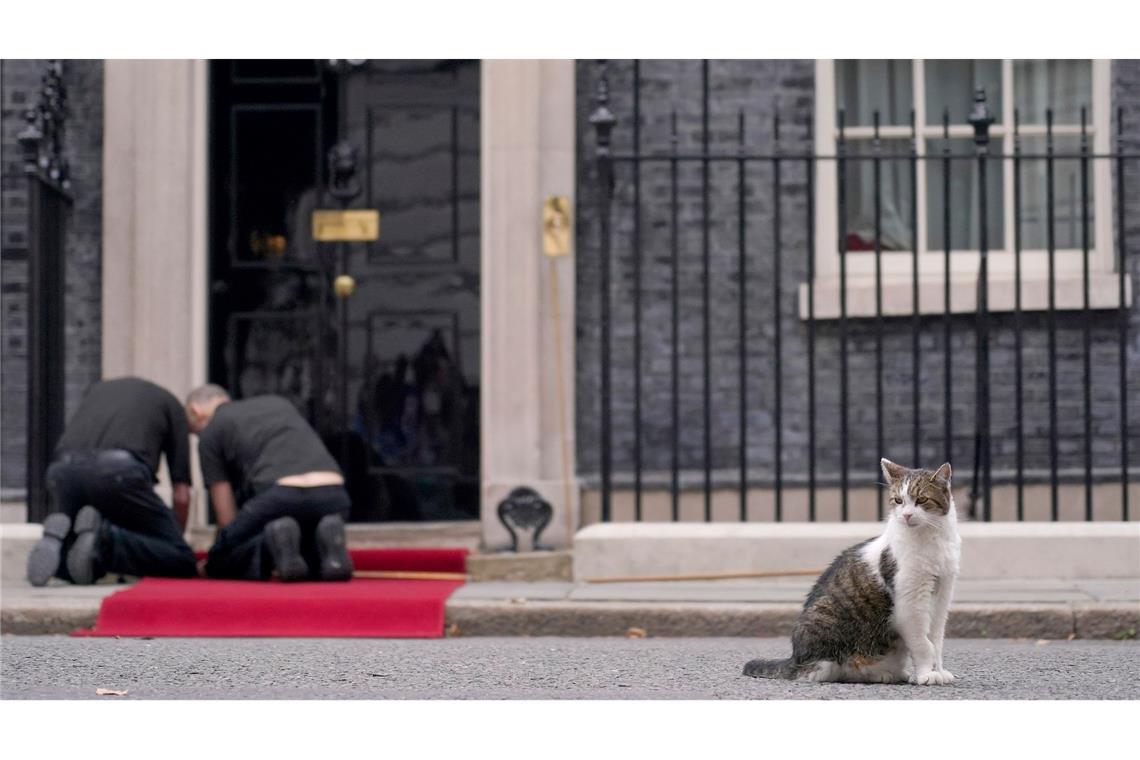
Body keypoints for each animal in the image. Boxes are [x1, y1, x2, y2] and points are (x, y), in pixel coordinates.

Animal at [738, 460, 962, 688]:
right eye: (898, 500)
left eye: (922, 499)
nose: (906, 515)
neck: (931, 540)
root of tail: (796, 658)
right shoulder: (910, 604)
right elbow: (923, 644)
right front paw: (926, 674)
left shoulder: (942, 597)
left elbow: (936, 641)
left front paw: (938, 671)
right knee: (831, 671)